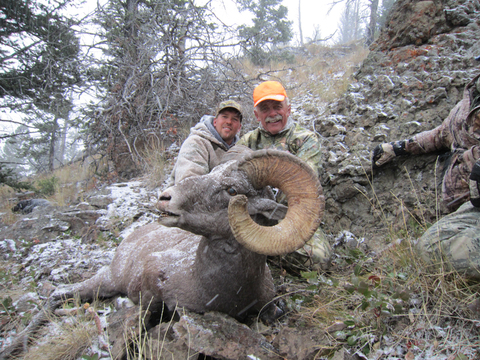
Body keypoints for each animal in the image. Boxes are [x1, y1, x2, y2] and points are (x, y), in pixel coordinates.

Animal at [0, 148, 322, 358]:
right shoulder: (151, 286)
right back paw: (15, 347)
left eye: (231, 190)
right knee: (57, 295)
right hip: (107, 280)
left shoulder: (268, 305)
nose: (165, 198)